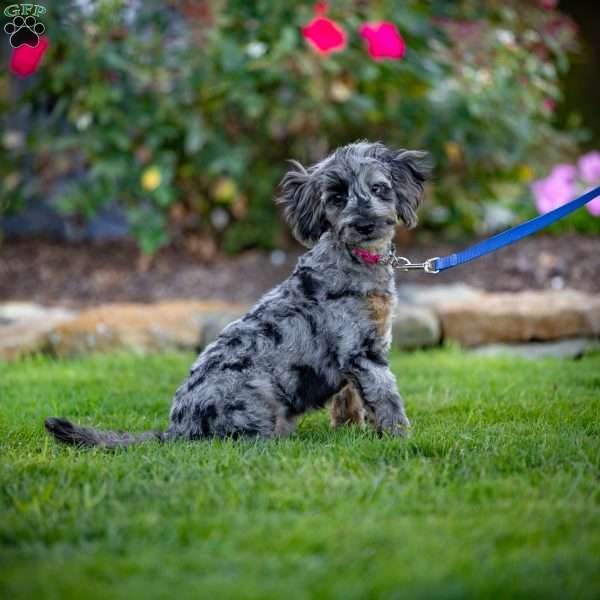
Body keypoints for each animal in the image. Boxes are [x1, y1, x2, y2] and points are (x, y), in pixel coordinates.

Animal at [47, 141, 432, 448]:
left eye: (379, 188)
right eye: (337, 198)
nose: (364, 224)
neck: (357, 259)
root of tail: (177, 430)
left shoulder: (351, 356)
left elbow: (349, 399)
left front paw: (350, 430)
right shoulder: (363, 353)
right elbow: (386, 398)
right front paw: (401, 438)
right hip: (257, 392)